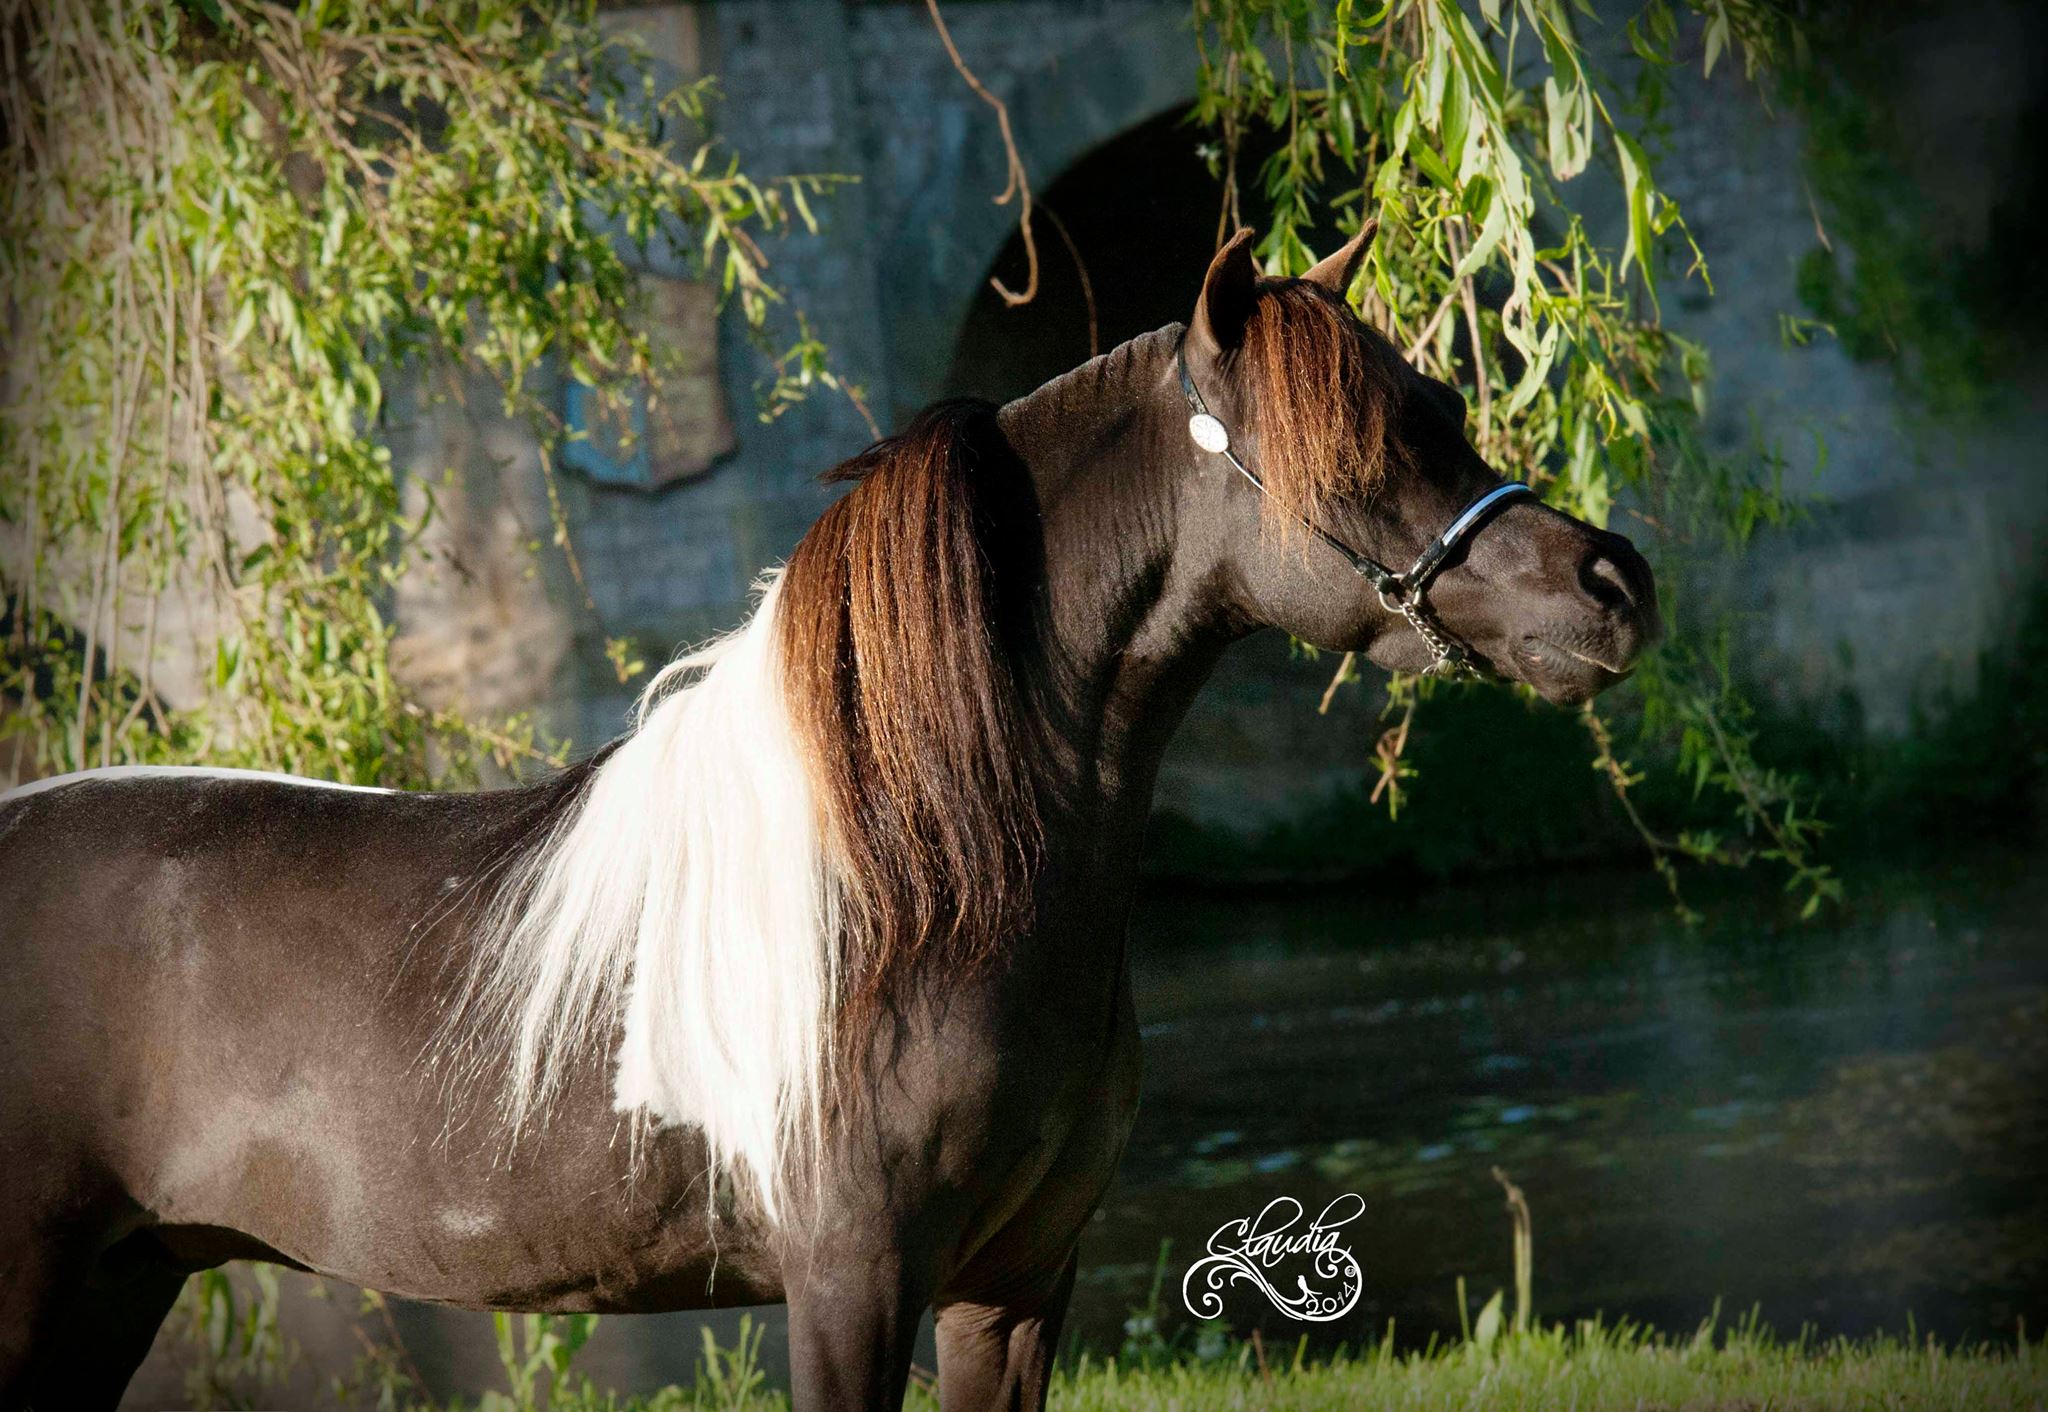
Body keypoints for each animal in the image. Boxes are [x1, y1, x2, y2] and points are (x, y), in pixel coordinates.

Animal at [0, 225, 1654, 1401]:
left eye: (1444, 409)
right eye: (1365, 449)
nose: (1613, 584)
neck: (919, 883)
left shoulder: (1018, 1282)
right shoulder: (851, 1286)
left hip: (119, 1287)